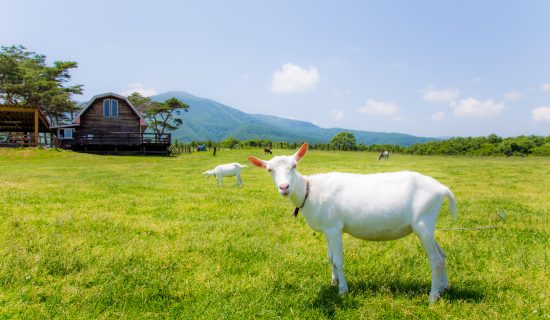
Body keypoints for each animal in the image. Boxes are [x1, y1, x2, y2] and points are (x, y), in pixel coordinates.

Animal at [249, 142, 458, 302]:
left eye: (294, 166)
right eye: (269, 170)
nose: (284, 187)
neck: (309, 190)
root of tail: (443, 189)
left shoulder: (334, 228)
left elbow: (338, 260)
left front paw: (343, 290)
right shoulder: (327, 229)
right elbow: (330, 257)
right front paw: (333, 281)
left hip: (423, 223)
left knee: (435, 260)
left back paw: (432, 297)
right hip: (427, 226)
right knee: (442, 255)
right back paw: (444, 287)